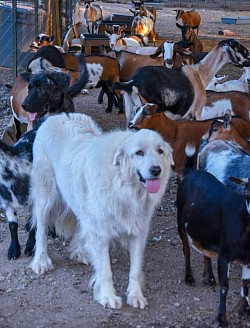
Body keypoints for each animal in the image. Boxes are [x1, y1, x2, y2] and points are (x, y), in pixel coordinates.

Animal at [29, 113, 173, 310]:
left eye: (160, 151)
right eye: (139, 152)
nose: (156, 170)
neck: (122, 187)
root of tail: (56, 116)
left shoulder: (138, 233)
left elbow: (135, 269)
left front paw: (136, 296)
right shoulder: (100, 235)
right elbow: (106, 270)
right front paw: (108, 296)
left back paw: (81, 252)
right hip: (46, 195)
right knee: (41, 231)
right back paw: (41, 261)